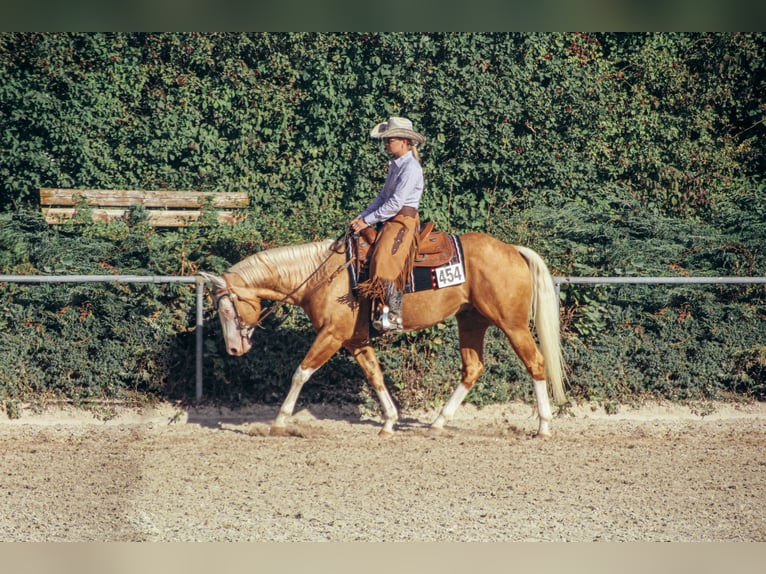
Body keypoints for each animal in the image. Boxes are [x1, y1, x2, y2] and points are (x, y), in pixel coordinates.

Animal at [200, 231, 566, 438]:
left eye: (227, 310)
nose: (233, 350)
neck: (321, 276)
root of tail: (513, 250)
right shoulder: (355, 340)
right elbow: (375, 376)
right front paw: (389, 422)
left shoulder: (332, 336)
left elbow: (300, 373)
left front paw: (279, 421)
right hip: (471, 321)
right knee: (472, 369)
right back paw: (438, 423)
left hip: (512, 324)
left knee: (535, 363)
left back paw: (544, 427)